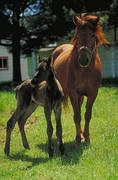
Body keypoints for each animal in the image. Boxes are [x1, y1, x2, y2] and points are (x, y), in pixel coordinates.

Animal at [52, 14, 109, 146]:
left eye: (92, 35)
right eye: (77, 36)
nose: (83, 60)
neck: (85, 71)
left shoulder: (92, 93)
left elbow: (87, 115)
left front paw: (86, 138)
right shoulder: (73, 94)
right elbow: (77, 116)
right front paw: (78, 140)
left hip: (81, 97)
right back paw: (59, 136)